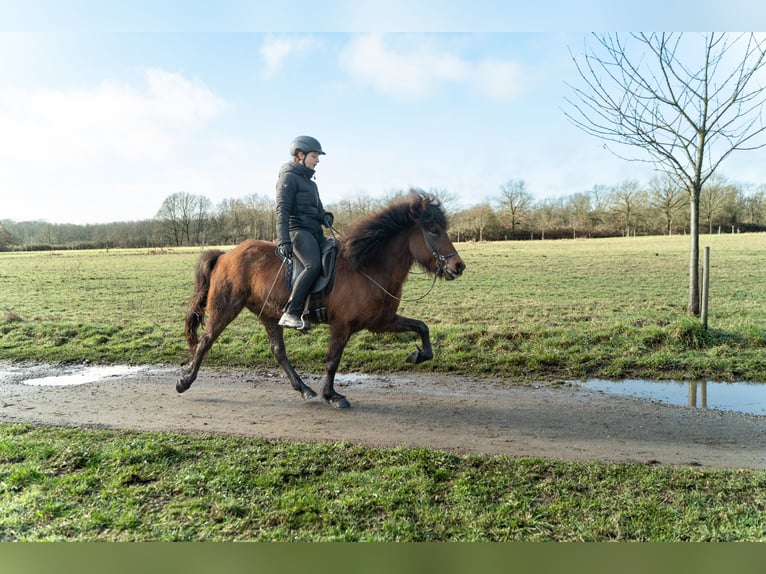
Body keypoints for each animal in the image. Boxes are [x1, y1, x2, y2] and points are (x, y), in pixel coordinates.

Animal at [176, 191, 466, 409]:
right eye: (434, 230)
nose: (458, 266)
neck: (366, 266)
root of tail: (226, 255)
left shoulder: (382, 321)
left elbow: (422, 327)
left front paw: (418, 355)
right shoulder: (342, 326)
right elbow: (332, 359)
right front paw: (332, 395)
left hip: (268, 314)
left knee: (278, 351)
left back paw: (303, 388)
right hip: (225, 307)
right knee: (205, 341)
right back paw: (185, 381)